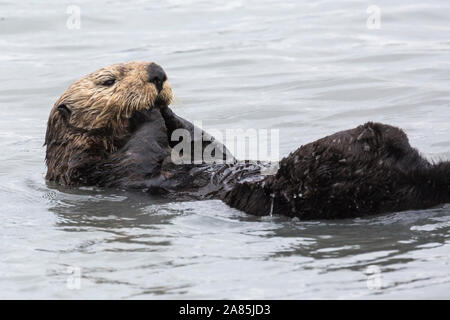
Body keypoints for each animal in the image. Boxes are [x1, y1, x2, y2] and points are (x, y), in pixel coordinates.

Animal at [45, 61, 450, 219]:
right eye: (108, 81)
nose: (157, 72)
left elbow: (208, 144)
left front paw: (169, 111)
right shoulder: (100, 172)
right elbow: (140, 157)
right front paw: (148, 111)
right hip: (316, 180)